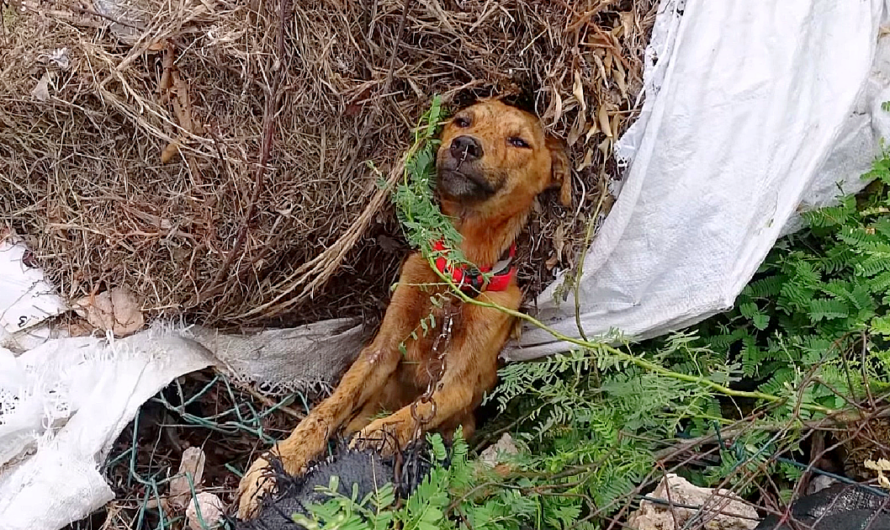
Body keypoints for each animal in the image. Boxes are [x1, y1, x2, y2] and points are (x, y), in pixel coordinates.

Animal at [236, 98, 568, 516]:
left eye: (519, 141)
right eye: (463, 120)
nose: (464, 146)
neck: (455, 273)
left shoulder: (461, 382)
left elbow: (423, 409)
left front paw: (381, 436)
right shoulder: (382, 348)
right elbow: (329, 406)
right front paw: (281, 460)